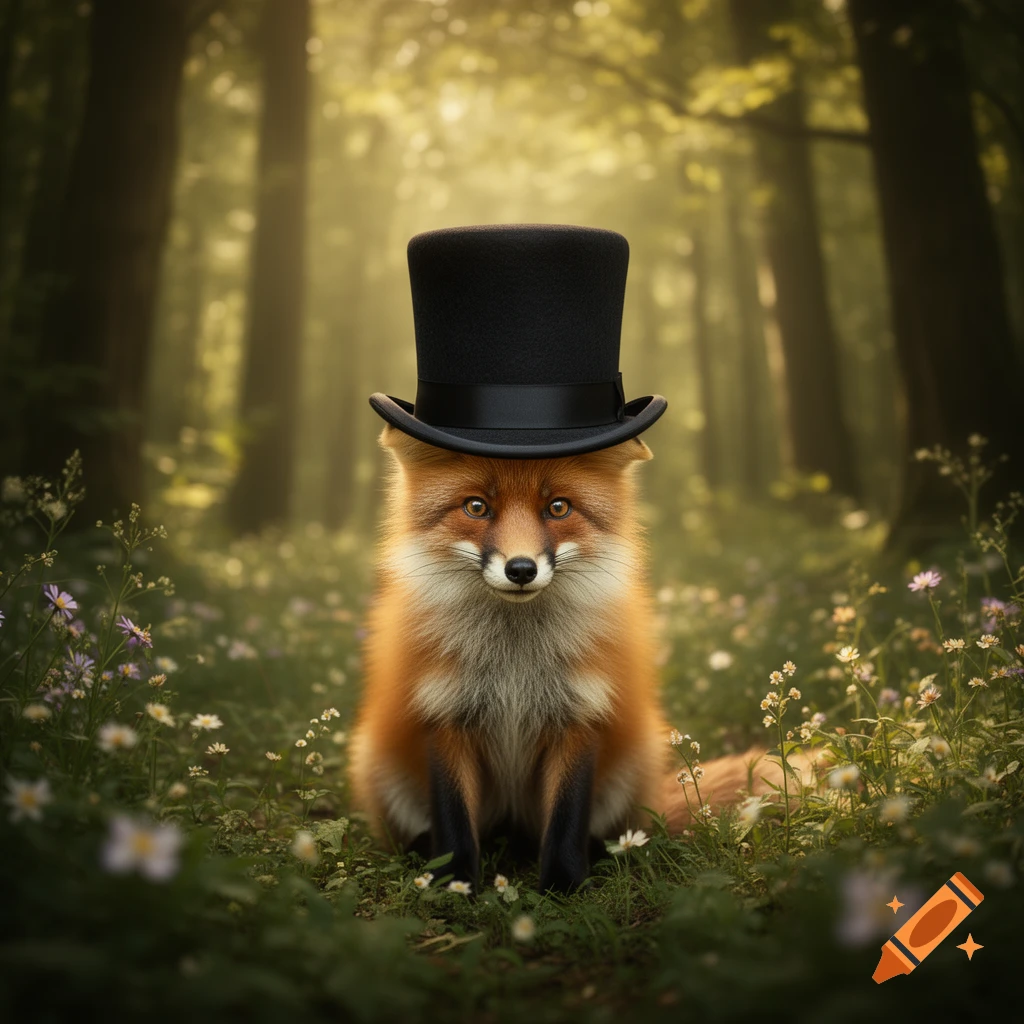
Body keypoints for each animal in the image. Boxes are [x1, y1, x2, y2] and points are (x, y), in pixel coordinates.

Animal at [348, 424, 801, 893]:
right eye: (476, 506)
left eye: (558, 507)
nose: (521, 569)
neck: (515, 665)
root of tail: (512, 828)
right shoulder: (444, 717)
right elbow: (454, 824)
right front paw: (456, 886)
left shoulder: (580, 717)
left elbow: (567, 821)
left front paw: (563, 888)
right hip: (374, 760)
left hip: (636, 762)